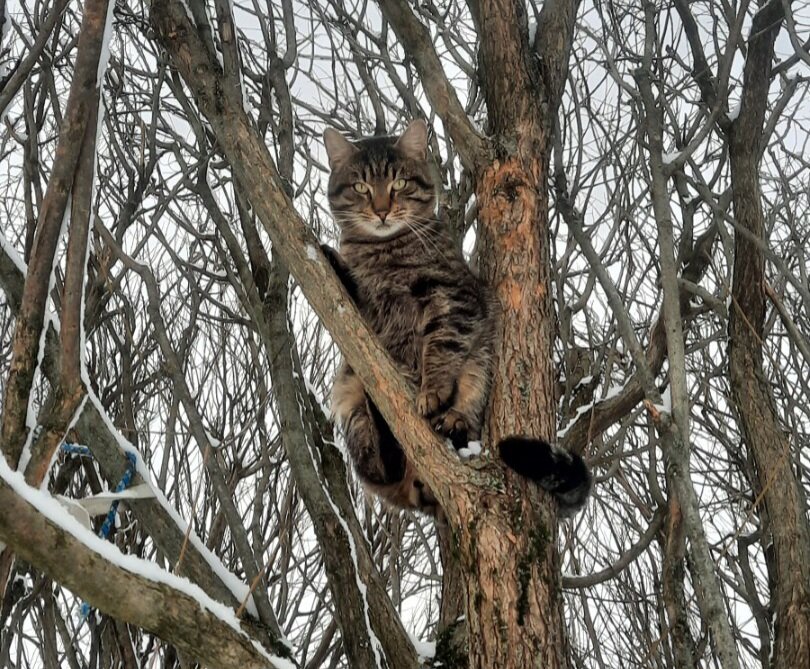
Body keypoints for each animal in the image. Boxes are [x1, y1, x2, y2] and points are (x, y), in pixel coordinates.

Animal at [322, 118, 592, 516]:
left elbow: (442, 344)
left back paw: (451, 422)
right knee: (379, 467)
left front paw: (432, 390)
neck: (383, 253)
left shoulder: (454, 297)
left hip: (481, 361)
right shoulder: (367, 312)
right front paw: (334, 262)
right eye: (361, 187)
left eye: (399, 183)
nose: (382, 209)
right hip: (352, 401)